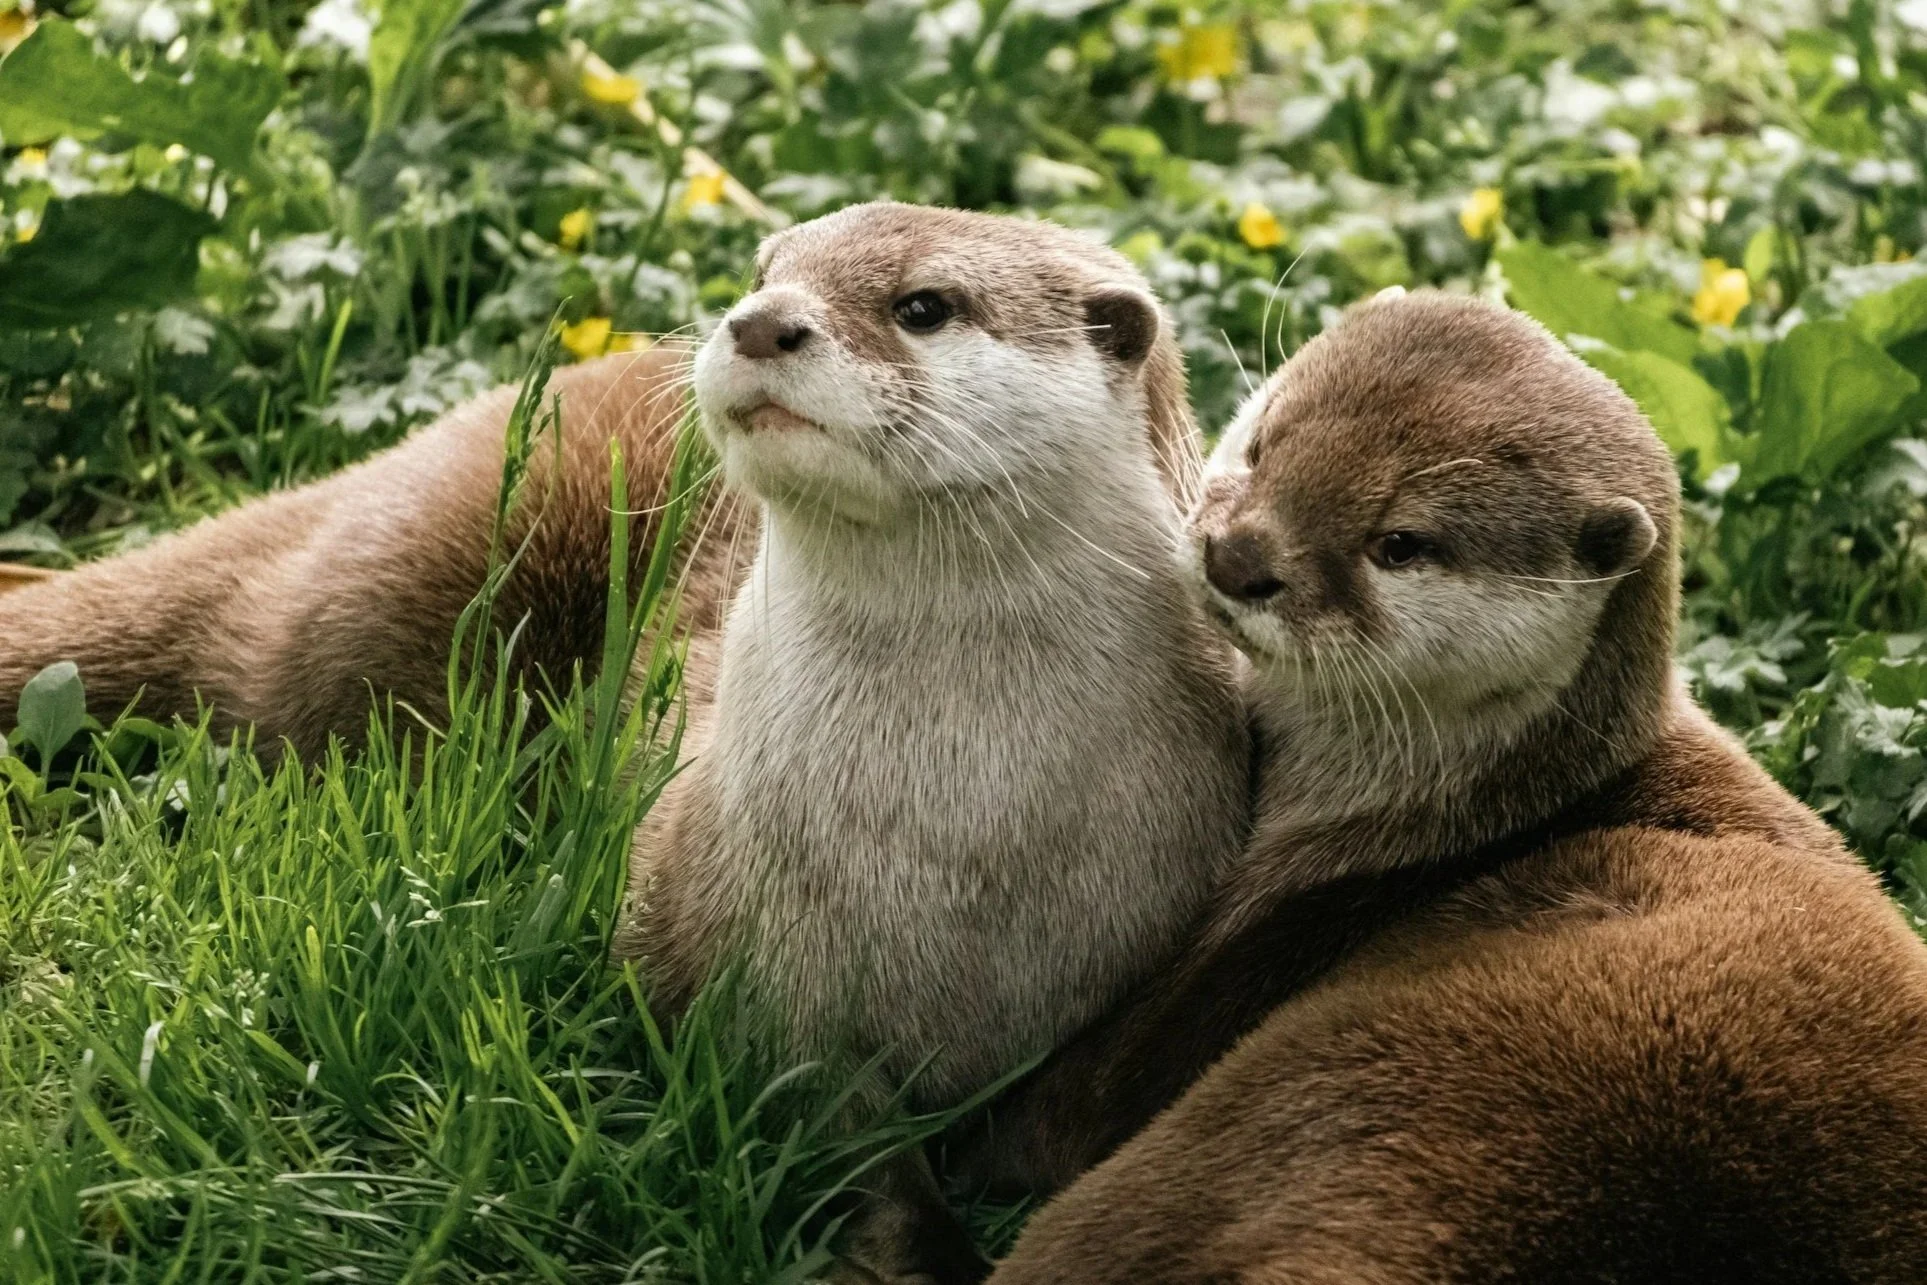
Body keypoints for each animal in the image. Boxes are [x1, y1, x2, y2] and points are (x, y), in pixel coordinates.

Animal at [963, 292, 1927, 1282]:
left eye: (1400, 542)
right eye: (1264, 442)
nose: (1237, 556)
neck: (1471, 817)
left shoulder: (1259, 941)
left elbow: (1063, 1109)